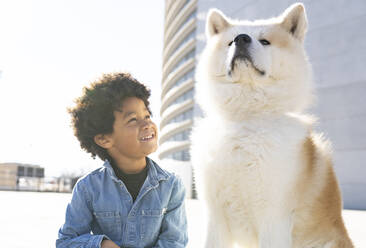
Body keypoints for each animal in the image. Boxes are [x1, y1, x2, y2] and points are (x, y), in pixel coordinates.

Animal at [192, 3, 354, 248]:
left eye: (265, 41)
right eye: (229, 42)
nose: (241, 39)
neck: (247, 119)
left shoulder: (273, 217)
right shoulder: (217, 218)